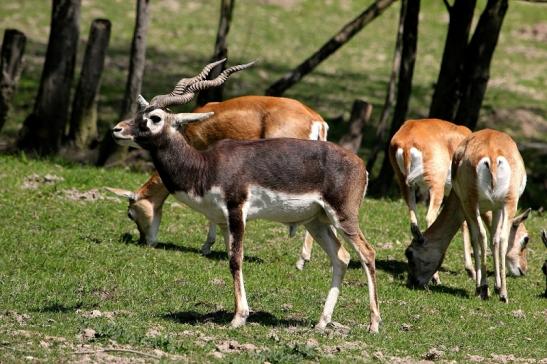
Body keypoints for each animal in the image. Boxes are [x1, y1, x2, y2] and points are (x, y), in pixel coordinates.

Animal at [111, 60, 382, 332]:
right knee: (341, 258)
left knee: (367, 254)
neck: (204, 166)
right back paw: (322, 322)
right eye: (140, 112)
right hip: (316, 221)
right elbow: (229, 259)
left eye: (154, 118)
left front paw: (239, 317)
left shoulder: (236, 211)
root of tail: (360, 164)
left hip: (343, 217)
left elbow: (235, 260)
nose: (117, 129)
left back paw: (373, 324)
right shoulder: (223, 221)